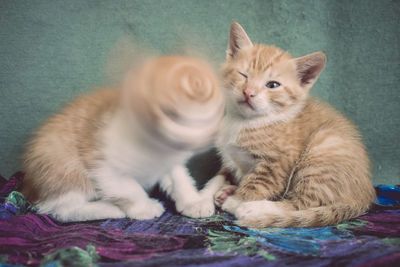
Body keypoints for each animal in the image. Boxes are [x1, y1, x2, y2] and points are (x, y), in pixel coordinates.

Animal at [21, 55, 225, 223]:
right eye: (168, 112)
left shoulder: (170, 161)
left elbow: (180, 178)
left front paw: (192, 202)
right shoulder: (102, 163)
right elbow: (129, 188)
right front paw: (144, 207)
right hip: (64, 166)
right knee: (62, 210)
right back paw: (107, 208)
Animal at [211, 22, 376, 228]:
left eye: (272, 85)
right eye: (243, 75)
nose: (249, 92)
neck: (246, 121)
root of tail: (364, 197)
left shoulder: (277, 164)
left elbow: (256, 184)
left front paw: (237, 201)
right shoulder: (232, 158)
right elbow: (227, 175)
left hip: (320, 152)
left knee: (302, 204)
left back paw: (253, 208)